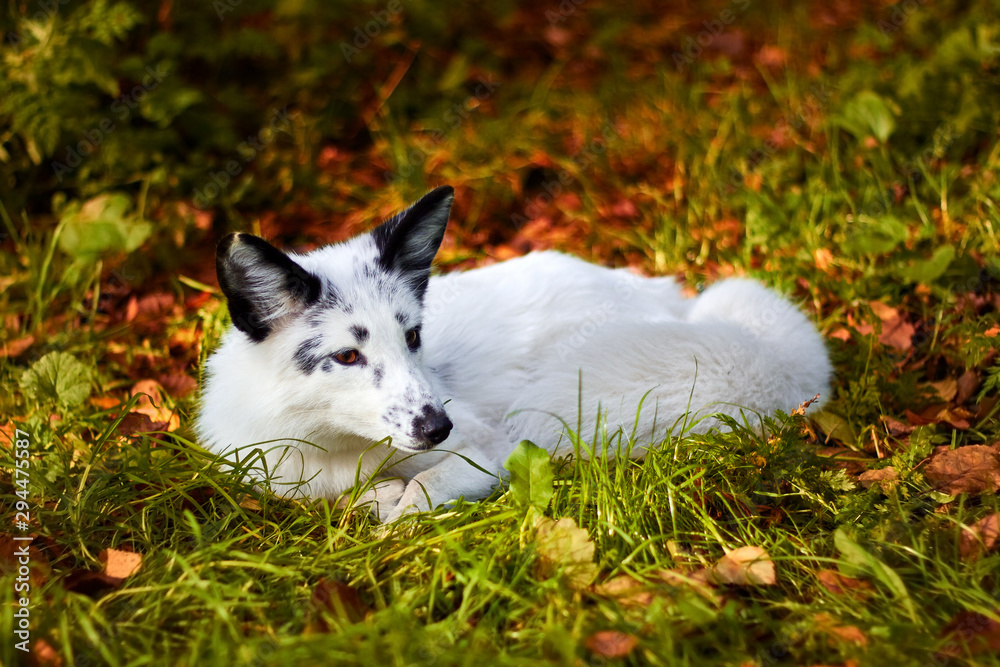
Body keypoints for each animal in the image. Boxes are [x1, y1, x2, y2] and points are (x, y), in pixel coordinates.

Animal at [198, 186, 832, 522]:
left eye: (413, 337)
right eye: (348, 357)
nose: (439, 426)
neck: (339, 449)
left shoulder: (494, 448)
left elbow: (429, 487)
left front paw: (397, 518)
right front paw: (378, 502)